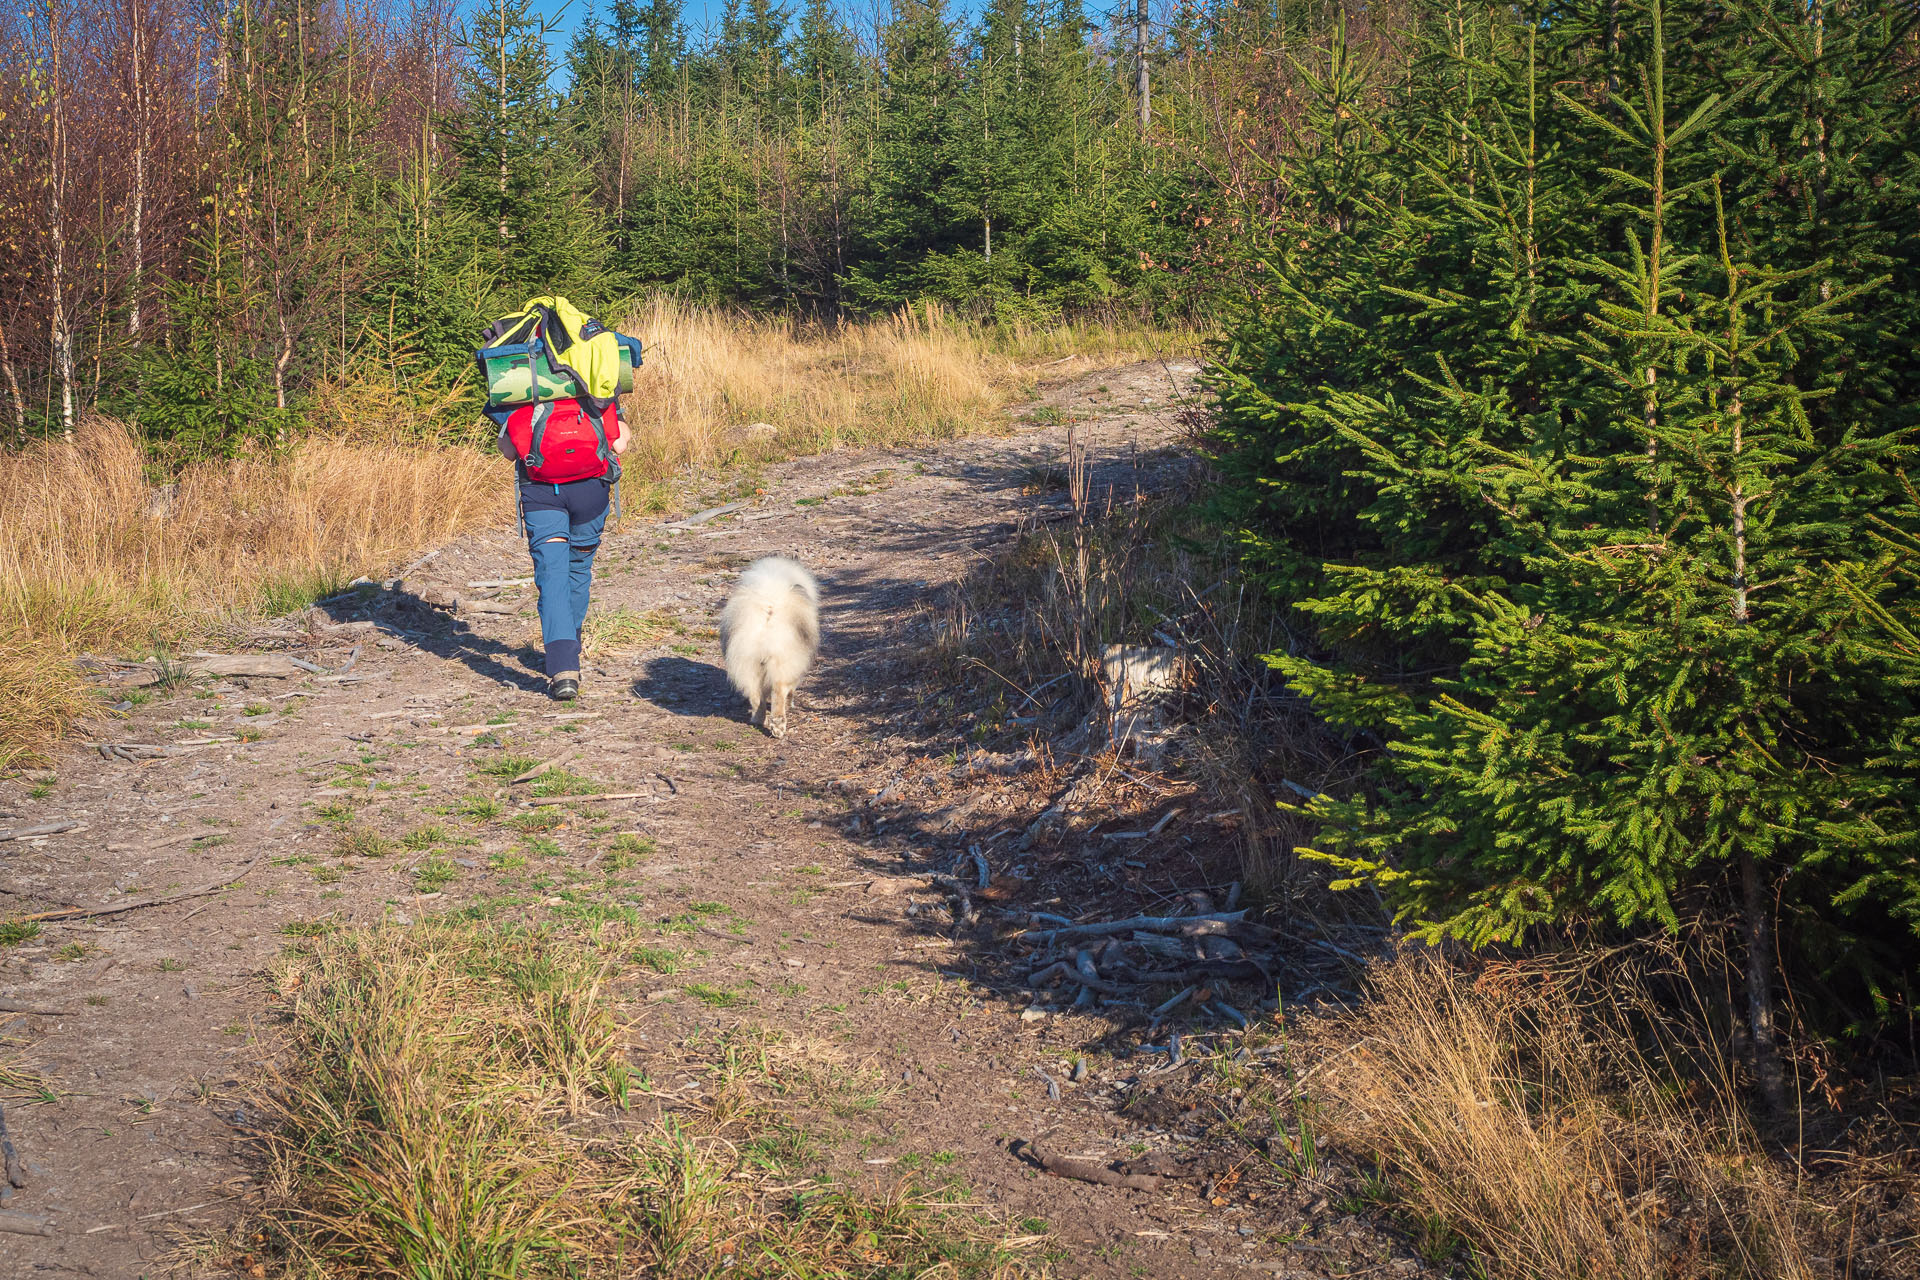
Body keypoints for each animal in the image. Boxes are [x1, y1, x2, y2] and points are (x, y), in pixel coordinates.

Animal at [718, 552, 814, 740]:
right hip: (782, 663)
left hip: (748, 664)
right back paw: (778, 726)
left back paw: (758, 720)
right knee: (778, 694)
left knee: (756, 698)